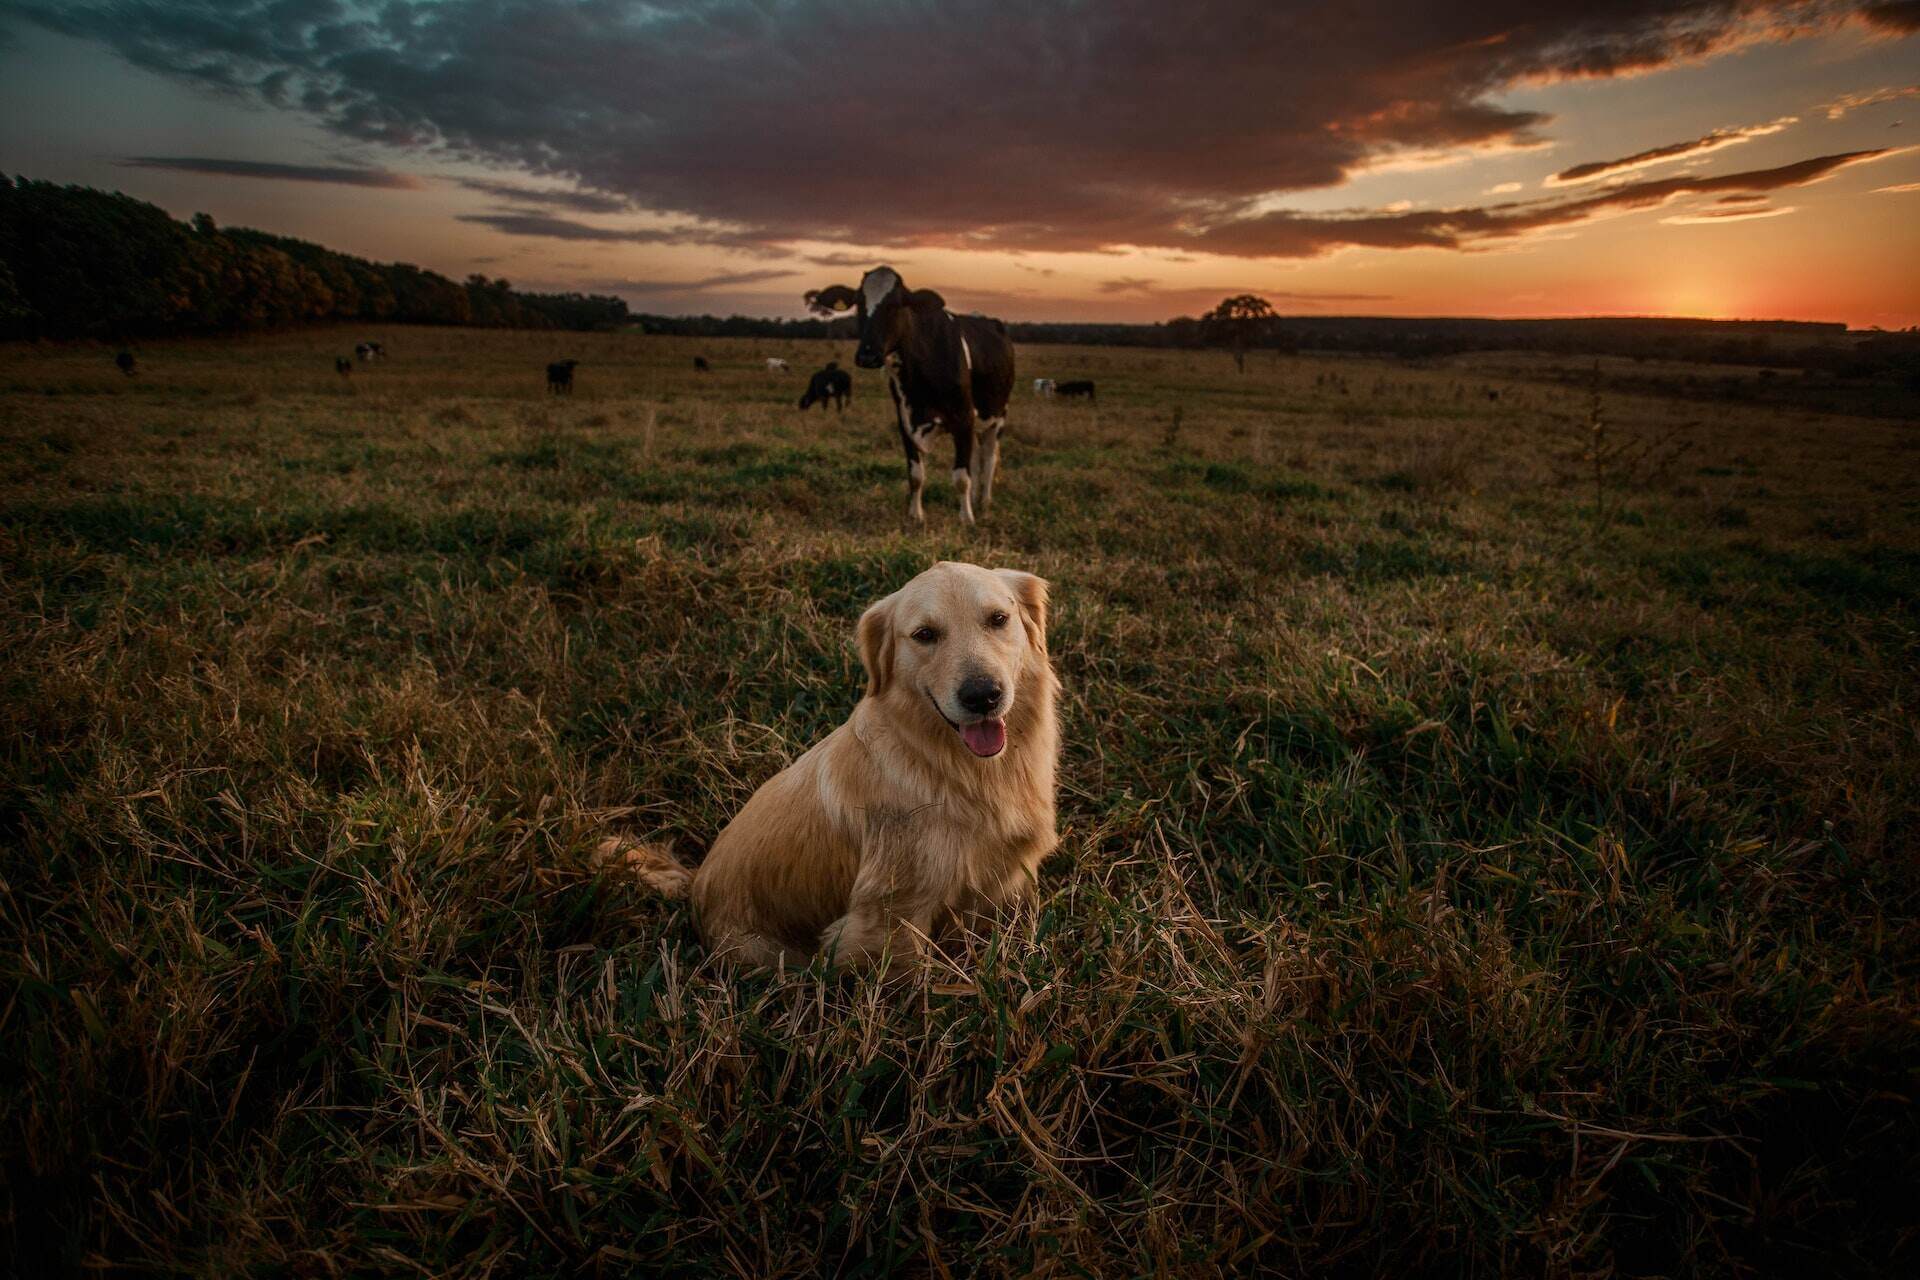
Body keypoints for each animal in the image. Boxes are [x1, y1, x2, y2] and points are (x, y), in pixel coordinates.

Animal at [602, 564, 1067, 971]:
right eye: (925, 635)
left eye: (998, 619)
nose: (983, 696)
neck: (956, 766)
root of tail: (695, 882)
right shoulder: (886, 916)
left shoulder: (994, 889)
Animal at [806, 264, 1021, 525]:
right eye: (859, 302)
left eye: (897, 304)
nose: (867, 355)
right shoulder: (905, 420)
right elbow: (916, 474)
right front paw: (915, 514)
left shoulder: (963, 419)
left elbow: (961, 476)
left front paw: (966, 518)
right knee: (979, 456)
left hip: (998, 415)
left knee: (989, 458)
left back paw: (985, 501)